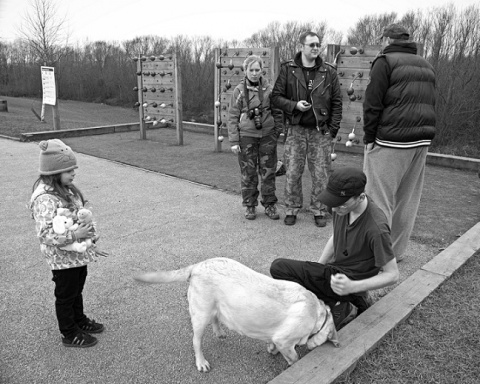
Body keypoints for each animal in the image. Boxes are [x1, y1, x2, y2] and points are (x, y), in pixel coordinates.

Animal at [133, 256, 340, 370]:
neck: (317, 313)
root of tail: (197, 265)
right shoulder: (285, 340)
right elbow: (293, 357)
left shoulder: (278, 338)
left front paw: (271, 349)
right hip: (201, 314)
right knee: (196, 341)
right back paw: (201, 362)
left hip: (214, 307)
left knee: (216, 319)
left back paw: (219, 332)